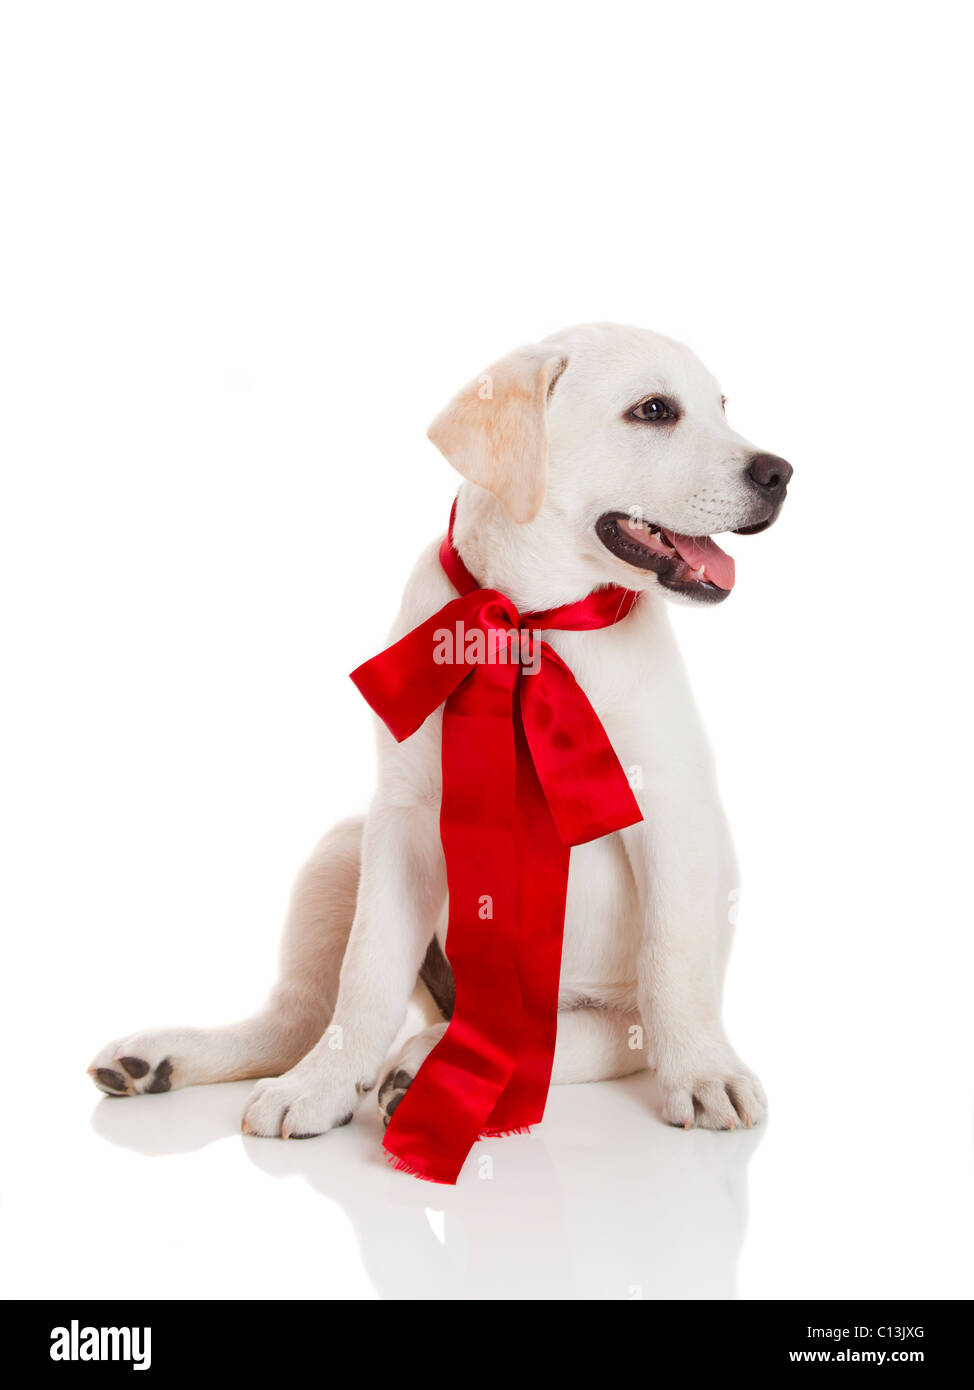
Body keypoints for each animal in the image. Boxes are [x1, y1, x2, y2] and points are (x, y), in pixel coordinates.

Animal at [89, 322, 789, 1139]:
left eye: (721, 405)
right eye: (654, 410)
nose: (781, 472)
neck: (530, 619)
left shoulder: (672, 814)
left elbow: (674, 961)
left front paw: (705, 1073)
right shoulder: (403, 819)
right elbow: (366, 974)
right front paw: (321, 1088)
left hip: (597, 1013)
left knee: (572, 1034)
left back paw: (429, 1062)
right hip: (342, 848)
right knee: (300, 1017)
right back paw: (177, 1058)